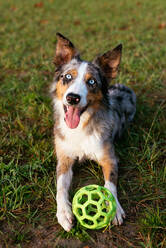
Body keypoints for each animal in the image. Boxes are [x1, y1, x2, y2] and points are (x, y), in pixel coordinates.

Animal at [50, 32, 136, 231]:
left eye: (91, 81)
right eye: (67, 77)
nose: (73, 98)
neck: (80, 128)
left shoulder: (109, 157)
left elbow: (110, 183)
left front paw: (114, 209)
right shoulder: (64, 159)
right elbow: (60, 187)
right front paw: (63, 213)